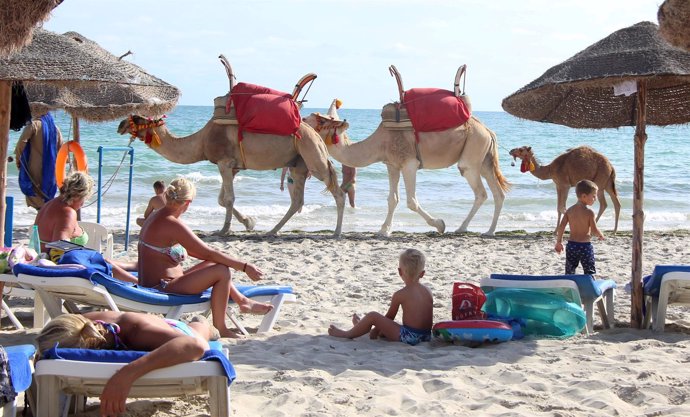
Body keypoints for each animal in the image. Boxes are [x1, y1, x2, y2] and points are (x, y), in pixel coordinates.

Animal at [119, 115, 346, 236]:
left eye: (137, 117)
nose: (120, 124)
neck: (201, 141)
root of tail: (317, 135)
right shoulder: (232, 167)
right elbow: (221, 199)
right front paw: (249, 222)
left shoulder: (224, 163)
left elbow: (228, 198)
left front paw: (224, 230)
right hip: (298, 164)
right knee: (297, 200)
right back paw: (272, 231)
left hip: (312, 156)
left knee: (338, 192)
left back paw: (336, 232)